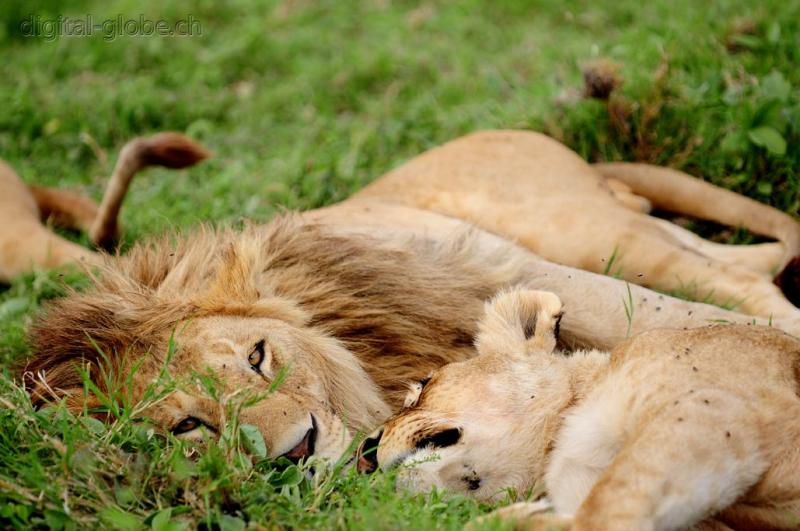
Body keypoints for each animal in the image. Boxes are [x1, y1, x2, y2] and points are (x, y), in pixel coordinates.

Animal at [21, 132, 800, 466]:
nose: (294, 452)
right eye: (189, 425)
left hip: (589, 230)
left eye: (258, 356)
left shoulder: (501, 269)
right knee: (756, 261)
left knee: (740, 280)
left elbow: (698, 324)